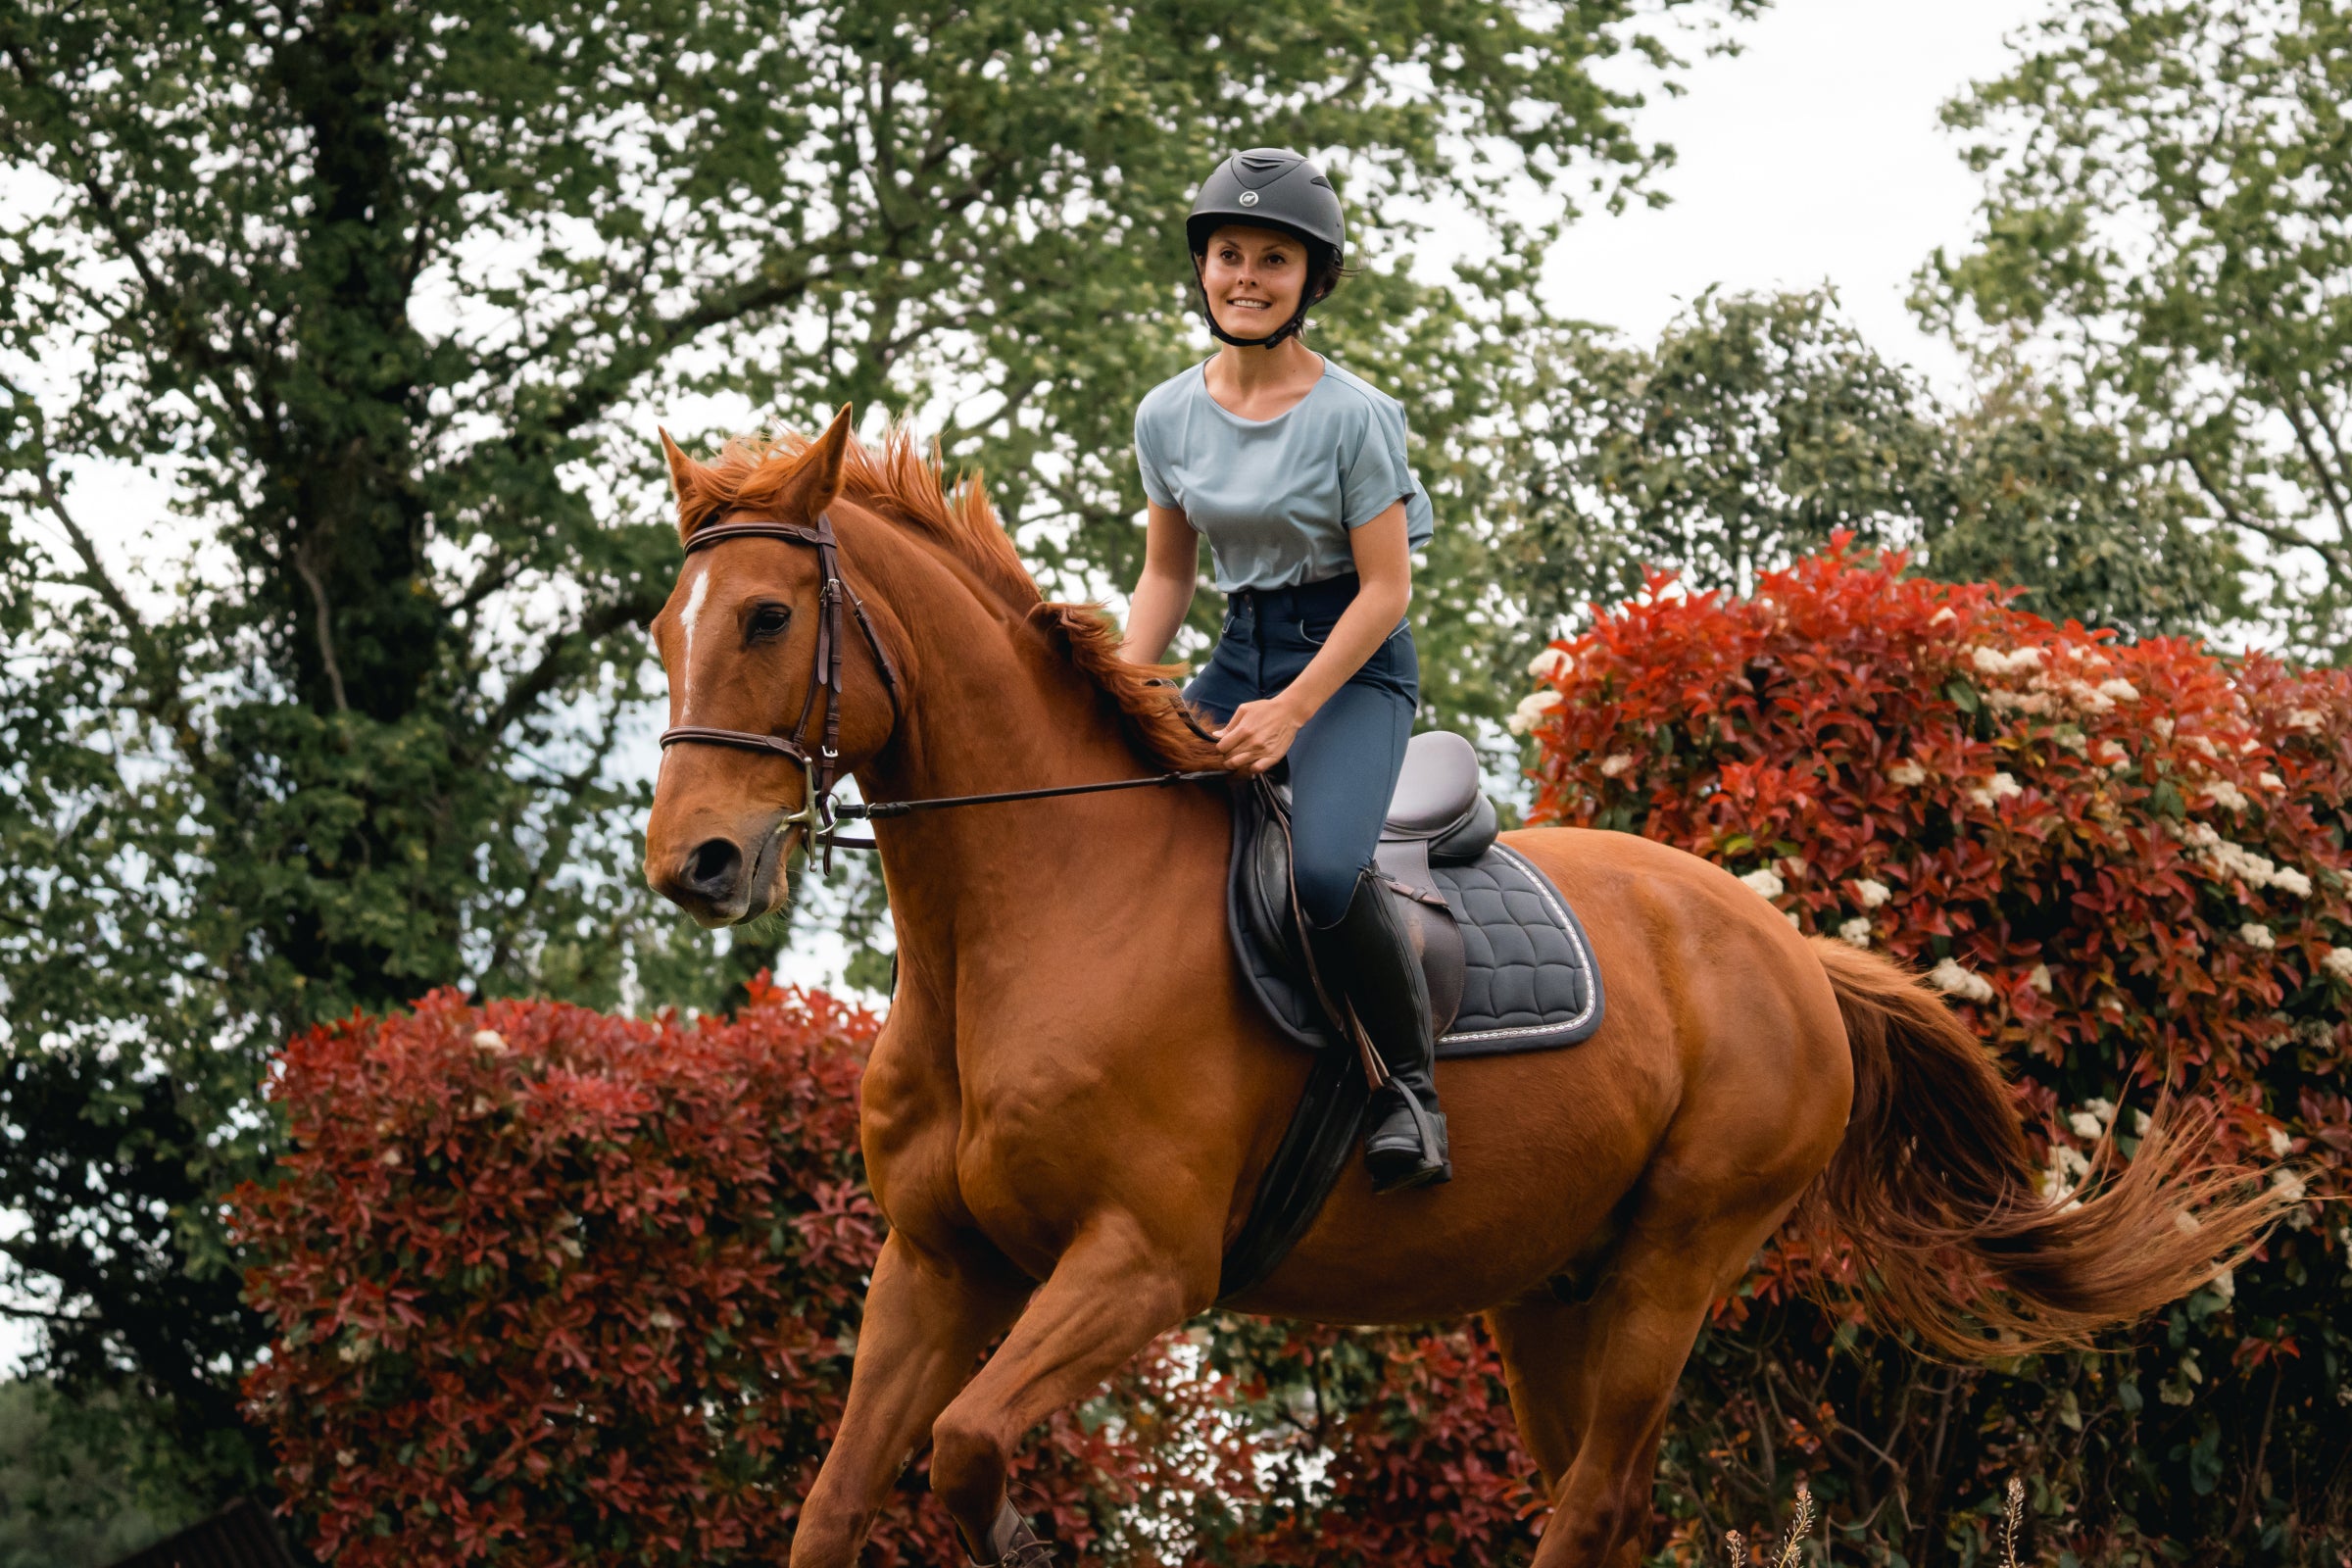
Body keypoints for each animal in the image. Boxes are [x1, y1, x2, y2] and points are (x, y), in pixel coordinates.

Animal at [644, 409, 2277, 1568]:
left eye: (769, 619)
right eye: (666, 627)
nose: (695, 864)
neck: (1028, 925)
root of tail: (1781, 945)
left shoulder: (1141, 1265)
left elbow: (973, 1450)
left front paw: (1027, 1536)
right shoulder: (934, 1264)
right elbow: (837, 1502)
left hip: (1675, 1267)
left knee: (1598, 1506)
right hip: (1552, 1292)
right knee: (1601, 1506)